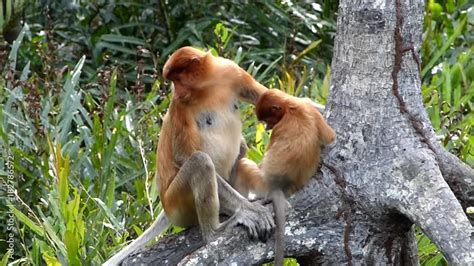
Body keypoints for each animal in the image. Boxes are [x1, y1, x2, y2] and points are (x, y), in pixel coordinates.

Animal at [103, 46, 274, 264]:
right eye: (173, 81)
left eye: (178, 79)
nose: (175, 91)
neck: (206, 87)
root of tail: (165, 207)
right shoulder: (180, 106)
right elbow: (185, 156)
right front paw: (250, 209)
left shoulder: (231, 72)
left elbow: (265, 97)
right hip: (178, 204)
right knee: (200, 162)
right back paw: (216, 232)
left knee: (241, 146)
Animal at [235, 89, 336, 266]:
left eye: (267, 119)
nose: (267, 127)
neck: (289, 107)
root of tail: (279, 186)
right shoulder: (306, 106)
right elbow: (331, 138)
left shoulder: (280, 127)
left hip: (262, 184)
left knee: (244, 165)